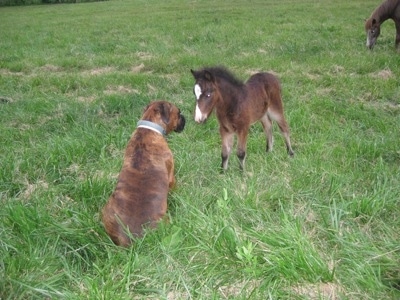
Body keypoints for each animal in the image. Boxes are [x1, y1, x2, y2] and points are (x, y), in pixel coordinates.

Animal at [102, 101, 185, 246]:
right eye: (178, 112)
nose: (184, 118)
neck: (149, 129)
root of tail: (131, 239)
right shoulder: (171, 178)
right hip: (165, 220)